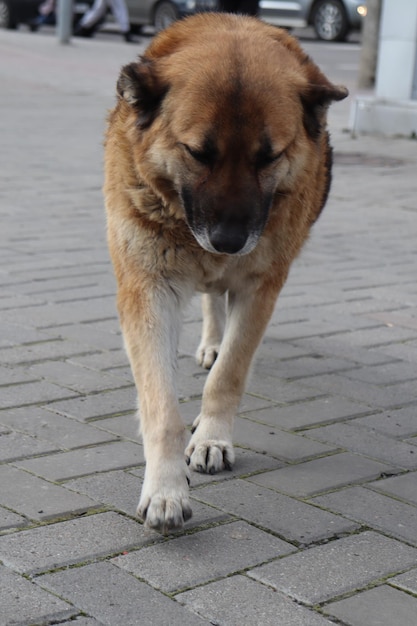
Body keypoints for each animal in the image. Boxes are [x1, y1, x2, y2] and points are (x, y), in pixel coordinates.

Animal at [103, 13, 344, 532]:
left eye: (269, 156)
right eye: (198, 152)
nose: (229, 243)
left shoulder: (260, 289)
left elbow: (230, 373)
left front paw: (212, 437)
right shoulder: (148, 293)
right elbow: (161, 406)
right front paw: (165, 488)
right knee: (212, 298)